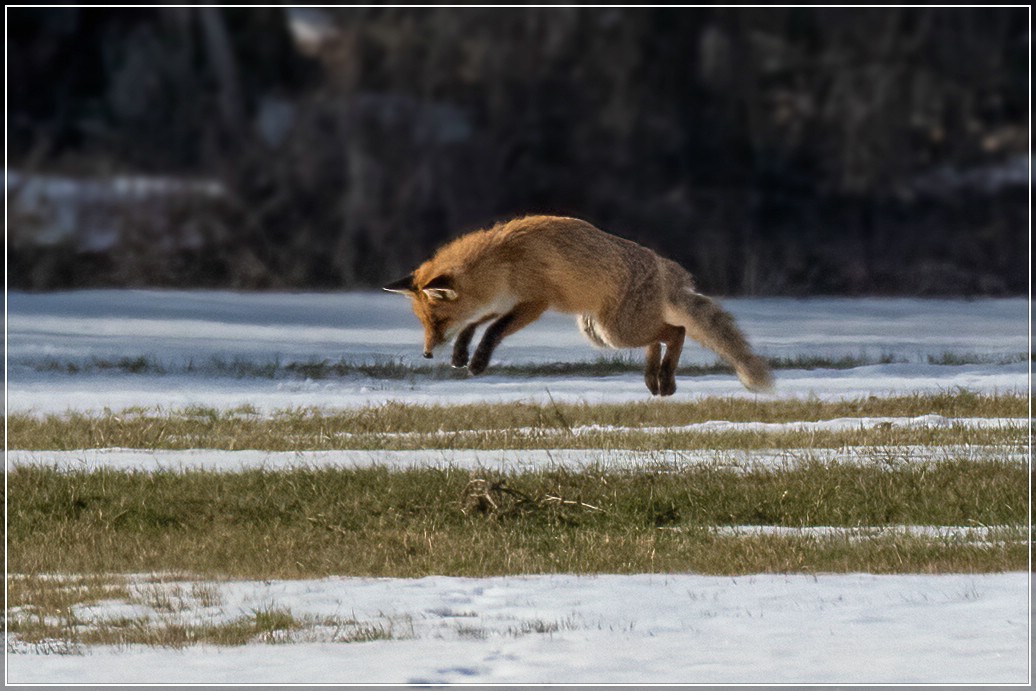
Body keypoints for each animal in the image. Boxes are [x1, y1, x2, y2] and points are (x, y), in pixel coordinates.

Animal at [385, 216, 774, 399]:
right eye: (424, 323)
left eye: (437, 321)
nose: (426, 354)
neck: (503, 261)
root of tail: (664, 266)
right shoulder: (501, 301)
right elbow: (473, 325)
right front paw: (462, 354)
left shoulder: (534, 302)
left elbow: (493, 330)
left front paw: (478, 362)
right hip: (602, 332)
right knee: (658, 337)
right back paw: (653, 378)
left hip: (615, 332)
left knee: (676, 331)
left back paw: (665, 378)